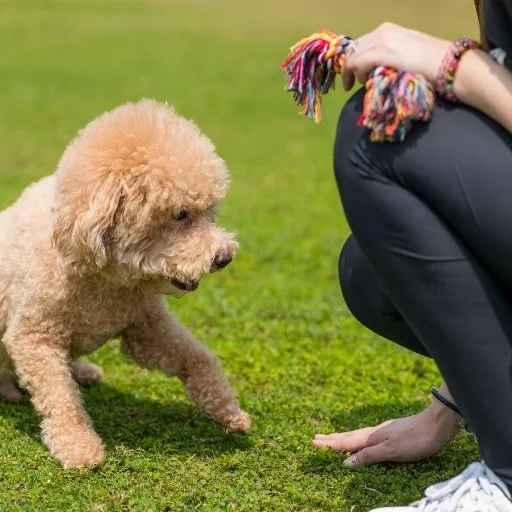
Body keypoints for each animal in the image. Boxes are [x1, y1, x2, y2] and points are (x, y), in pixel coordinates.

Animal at [0, 100, 250, 468]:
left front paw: (228, 411)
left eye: (209, 211)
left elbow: (198, 358)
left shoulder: (145, 326)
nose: (223, 258)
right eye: (179, 214)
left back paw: (82, 371)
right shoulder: (34, 336)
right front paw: (78, 445)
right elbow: (60, 397)